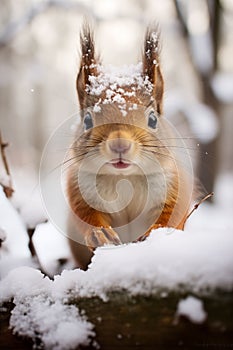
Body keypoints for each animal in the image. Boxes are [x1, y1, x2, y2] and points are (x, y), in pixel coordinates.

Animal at [65, 23, 193, 270]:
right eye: (87, 120)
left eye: (152, 119)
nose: (120, 145)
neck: (124, 178)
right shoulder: (79, 186)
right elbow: (85, 214)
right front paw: (100, 233)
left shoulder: (173, 183)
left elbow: (171, 212)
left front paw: (155, 231)